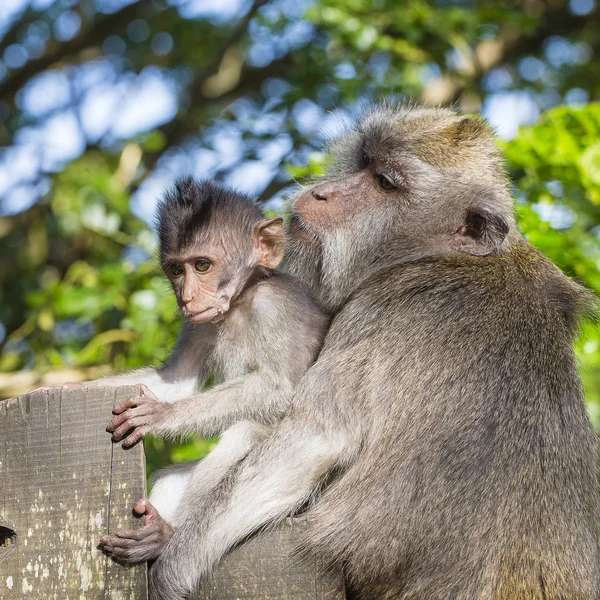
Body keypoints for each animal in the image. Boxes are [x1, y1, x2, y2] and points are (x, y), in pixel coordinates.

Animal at [146, 106, 600, 600]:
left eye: (385, 182)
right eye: (364, 162)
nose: (322, 194)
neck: (441, 253)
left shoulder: (379, 308)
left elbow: (317, 437)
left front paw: (172, 564)